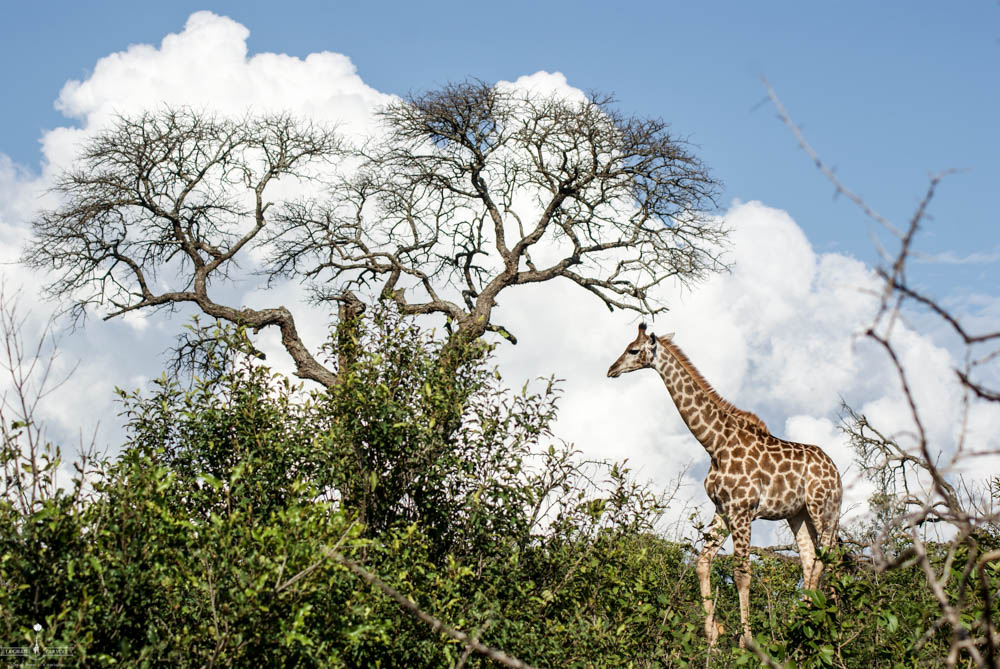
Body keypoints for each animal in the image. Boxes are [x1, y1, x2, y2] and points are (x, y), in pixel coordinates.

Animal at [604, 324, 840, 648]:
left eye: (634, 350)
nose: (611, 369)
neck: (715, 443)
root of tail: (837, 472)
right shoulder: (722, 509)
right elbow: (703, 563)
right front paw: (712, 637)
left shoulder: (742, 510)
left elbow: (742, 573)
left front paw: (746, 642)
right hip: (798, 514)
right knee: (811, 557)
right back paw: (804, 625)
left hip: (823, 508)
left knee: (825, 557)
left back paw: (820, 625)